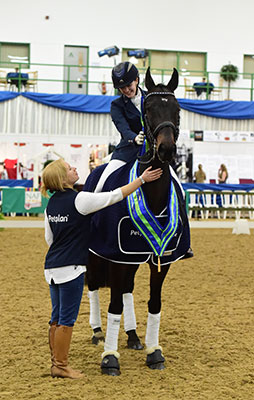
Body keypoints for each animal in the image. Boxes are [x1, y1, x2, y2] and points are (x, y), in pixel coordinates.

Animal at [84, 67, 190, 376]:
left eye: (177, 109)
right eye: (149, 109)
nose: (166, 149)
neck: (151, 195)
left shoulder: (161, 259)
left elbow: (154, 303)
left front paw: (155, 352)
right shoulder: (115, 255)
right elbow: (114, 304)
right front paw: (109, 358)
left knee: (127, 289)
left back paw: (132, 336)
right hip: (96, 253)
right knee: (94, 284)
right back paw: (98, 332)